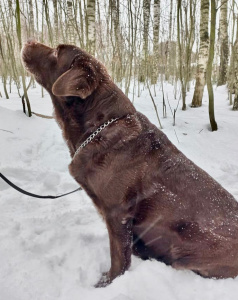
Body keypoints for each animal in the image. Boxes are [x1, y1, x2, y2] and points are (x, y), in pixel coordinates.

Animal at [21, 41, 238, 288]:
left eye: (57, 52)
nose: (27, 41)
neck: (100, 126)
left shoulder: (118, 212)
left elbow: (118, 257)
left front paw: (107, 283)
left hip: (189, 246)